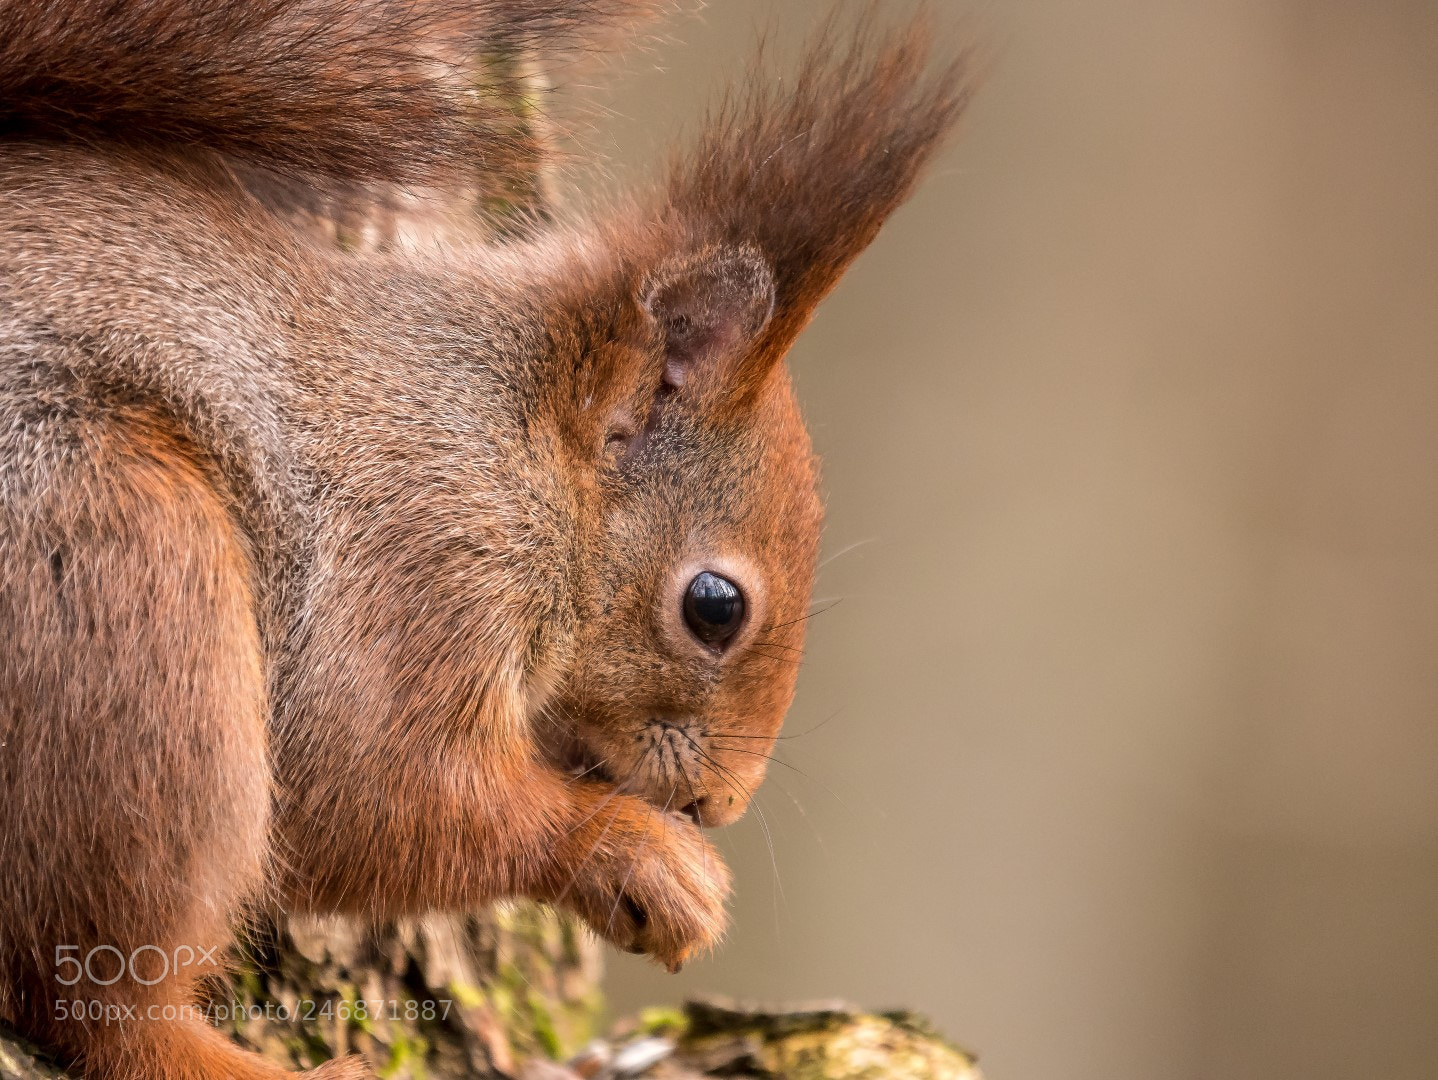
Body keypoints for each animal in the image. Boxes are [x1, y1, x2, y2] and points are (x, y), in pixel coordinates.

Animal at [0, 2, 969, 1078]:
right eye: (714, 608)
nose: (719, 804)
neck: (510, 432)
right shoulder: (418, 555)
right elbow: (367, 789)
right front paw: (646, 860)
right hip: (129, 589)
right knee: (90, 993)